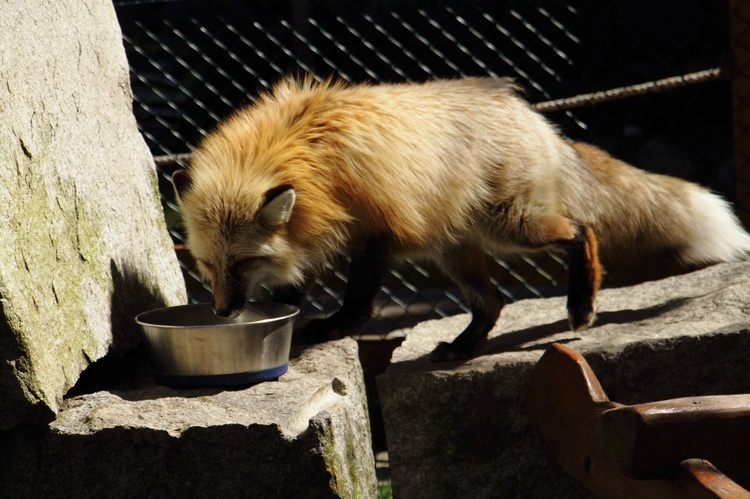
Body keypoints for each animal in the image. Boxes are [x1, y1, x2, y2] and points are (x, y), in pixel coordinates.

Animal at [173, 76, 750, 362]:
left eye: (242, 263)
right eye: (208, 267)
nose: (222, 312)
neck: (305, 157)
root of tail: (527, 110)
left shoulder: (376, 230)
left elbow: (358, 298)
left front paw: (336, 327)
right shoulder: (312, 233)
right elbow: (295, 285)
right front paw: (292, 317)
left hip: (515, 228)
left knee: (582, 231)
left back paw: (582, 304)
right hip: (455, 251)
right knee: (493, 303)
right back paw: (465, 347)